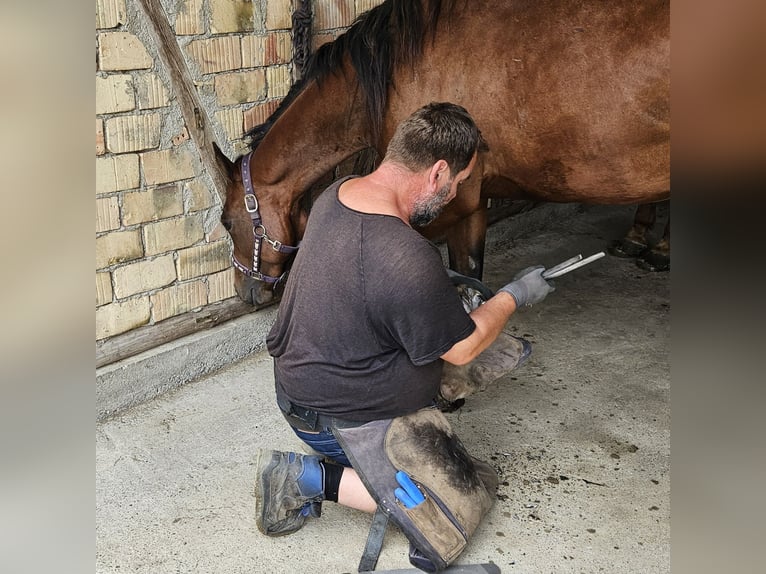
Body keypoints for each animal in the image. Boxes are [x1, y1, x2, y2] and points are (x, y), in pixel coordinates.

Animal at [218, 0, 672, 308]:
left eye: (226, 222)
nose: (245, 292)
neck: (397, 70)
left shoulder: (444, 206)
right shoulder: (472, 203)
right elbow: (471, 278)